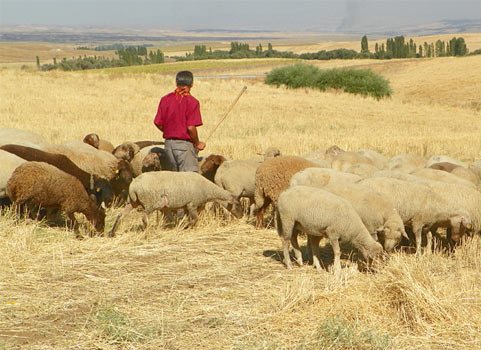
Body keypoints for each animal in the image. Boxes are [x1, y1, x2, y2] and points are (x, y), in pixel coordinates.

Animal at [110, 172, 242, 237]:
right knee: (144, 218)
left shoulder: (191, 206)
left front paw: (187, 226)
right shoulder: (191, 204)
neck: (208, 190)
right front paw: (186, 227)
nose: (241, 216)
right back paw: (148, 232)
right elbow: (194, 219)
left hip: (132, 202)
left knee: (120, 215)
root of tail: (133, 186)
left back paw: (112, 232)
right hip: (150, 203)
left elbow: (193, 218)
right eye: (237, 204)